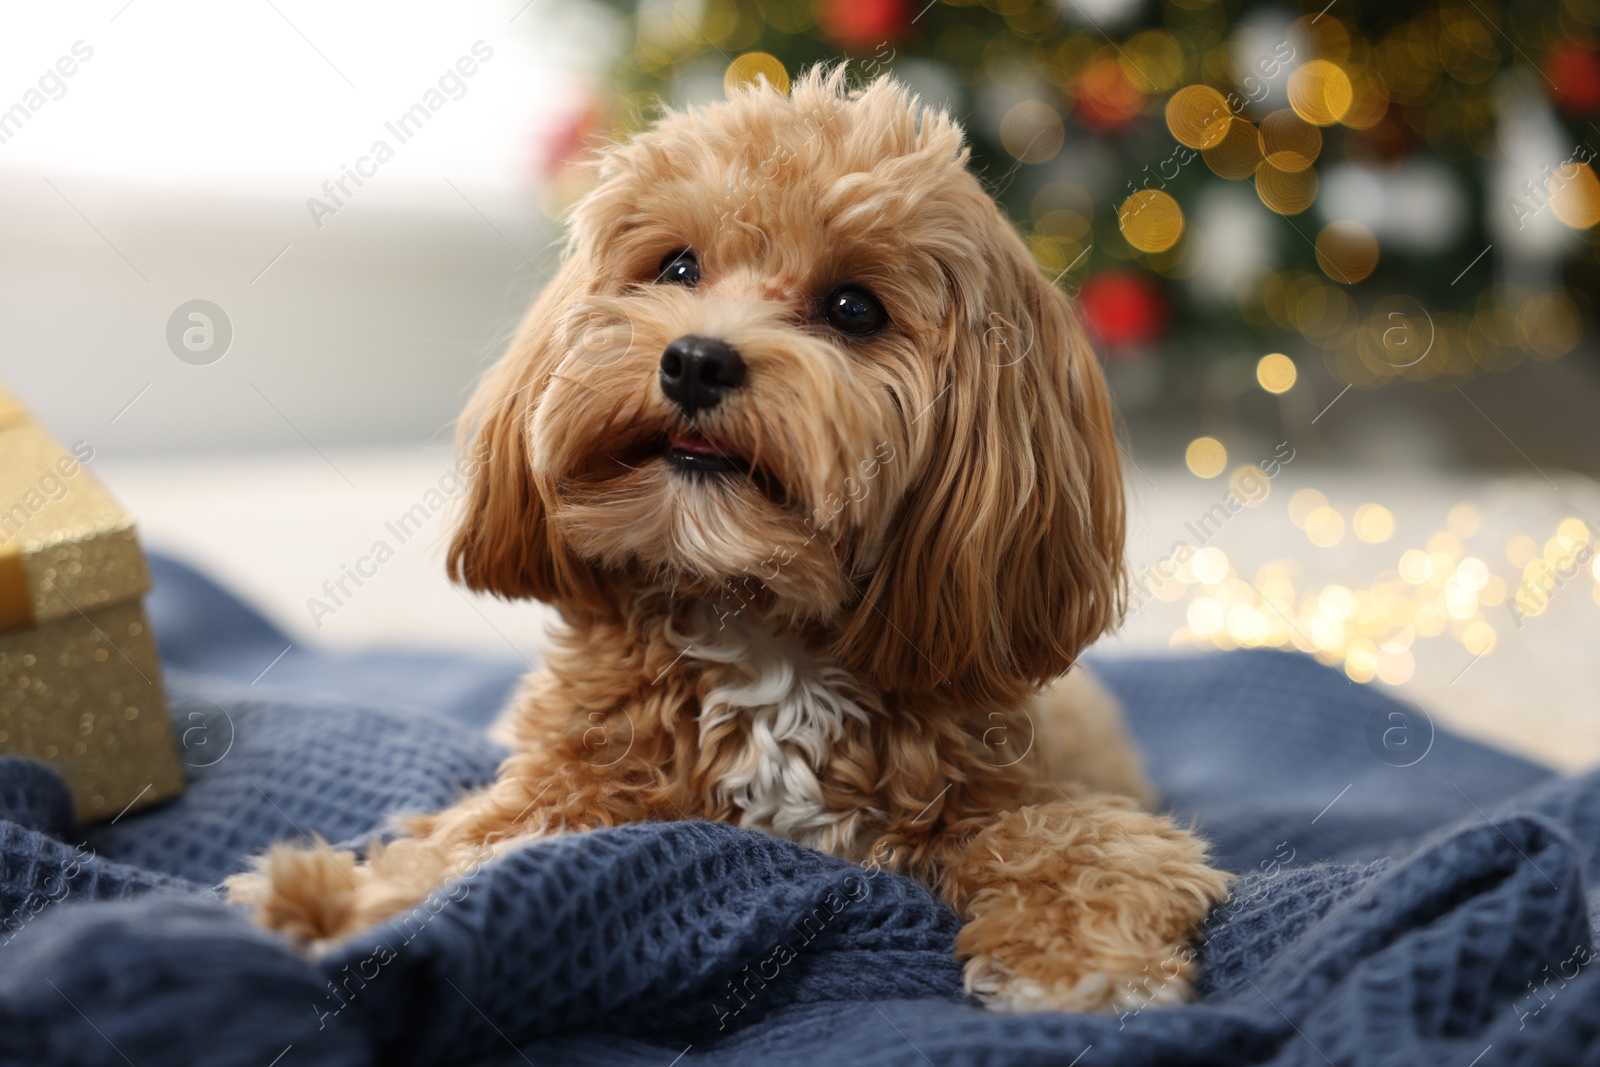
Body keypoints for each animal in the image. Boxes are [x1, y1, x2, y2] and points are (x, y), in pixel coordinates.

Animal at [228, 68, 1222, 1017]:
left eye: (854, 309)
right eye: (677, 266)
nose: (696, 361)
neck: (758, 625)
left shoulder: (1015, 794)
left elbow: (1085, 842)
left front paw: (1080, 963)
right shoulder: (573, 784)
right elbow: (469, 847)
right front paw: (330, 903)